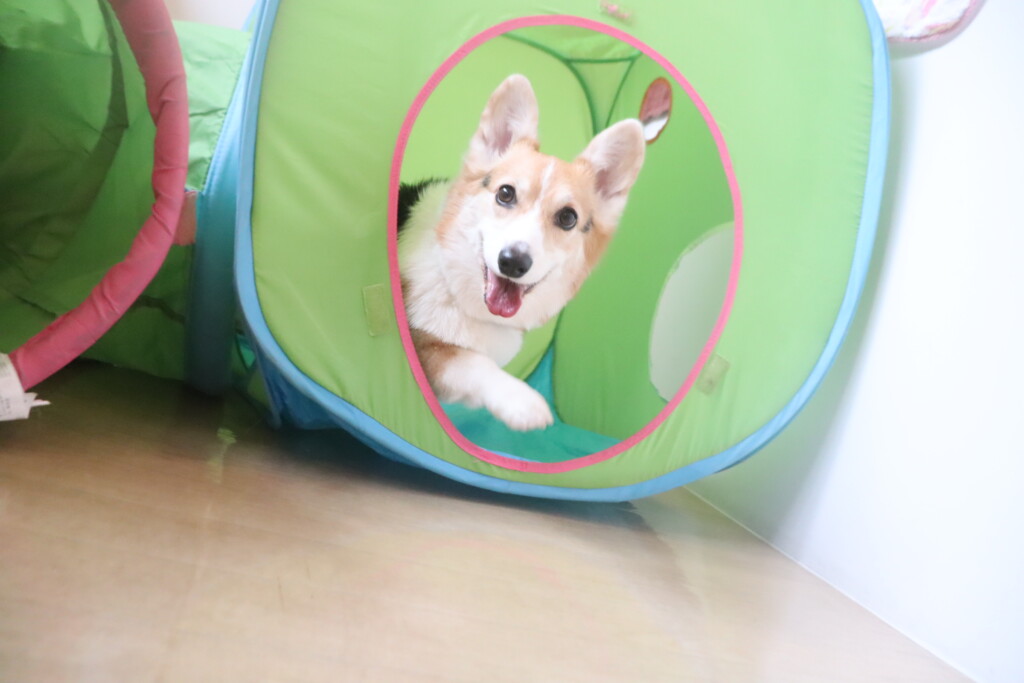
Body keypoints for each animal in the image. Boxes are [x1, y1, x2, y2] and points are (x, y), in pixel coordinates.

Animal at [398, 74, 645, 431]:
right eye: (505, 193)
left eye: (568, 218)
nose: (513, 262)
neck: (461, 298)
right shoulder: (422, 348)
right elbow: (472, 362)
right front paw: (521, 400)